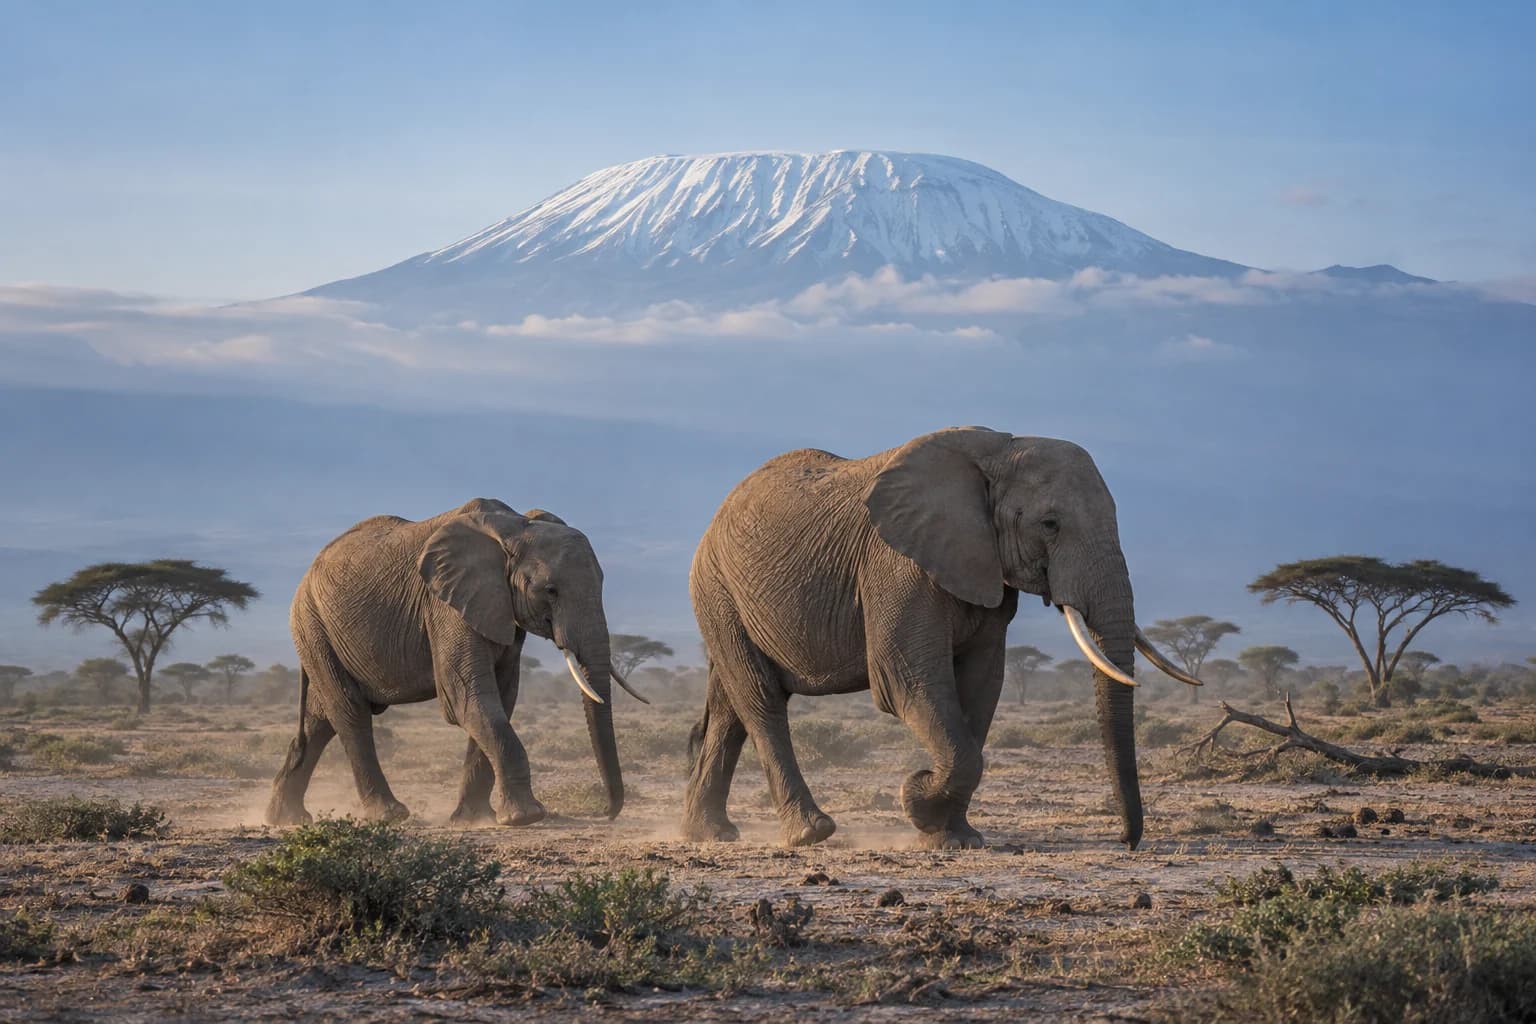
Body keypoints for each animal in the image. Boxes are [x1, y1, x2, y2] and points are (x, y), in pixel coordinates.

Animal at [265, 497, 647, 828]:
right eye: (550, 591)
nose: (605, 812)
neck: (514, 526)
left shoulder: (499, 607)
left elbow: (501, 697)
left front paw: (474, 820)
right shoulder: (444, 605)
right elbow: (465, 697)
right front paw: (525, 818)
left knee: (319, 720)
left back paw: (284, 819)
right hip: (313, 624)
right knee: (350, 712)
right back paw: (389, 815)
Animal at [682, 427, 1201, 850]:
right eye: (1050, 524)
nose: (1126, 840)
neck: (998, 450)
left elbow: (983, 685)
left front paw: (954, 836)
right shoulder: (896, 564)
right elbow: (906, 681)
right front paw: (918, 797)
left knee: (729, 708)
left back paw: (710, 834)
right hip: (717, 588)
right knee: (761, 700)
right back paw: (810, 832)